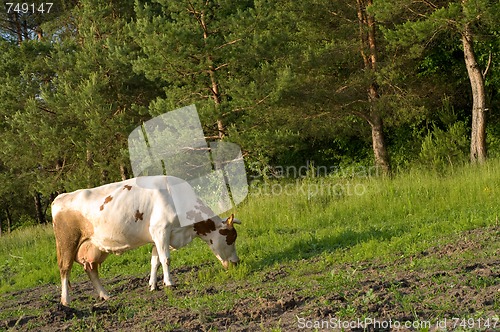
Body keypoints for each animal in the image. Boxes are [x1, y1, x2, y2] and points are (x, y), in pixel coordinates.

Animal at [52, 175, 240, 308]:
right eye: (231, 238)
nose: (237, 263)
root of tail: (60, 198)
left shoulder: (157, 236)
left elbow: (155, 261)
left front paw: (153, 285)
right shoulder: (161, 229)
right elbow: (166, 259)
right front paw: (169, 283)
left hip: (93, 247)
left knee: (91, 269)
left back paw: (105, 295)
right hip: (67, 242)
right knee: (64, 269)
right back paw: (66, 301)